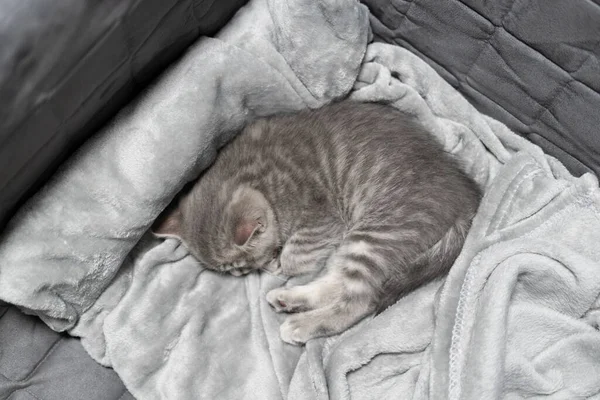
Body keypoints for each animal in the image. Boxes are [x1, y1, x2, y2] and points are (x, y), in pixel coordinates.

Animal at [152, 101, 480, 346]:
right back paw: (289, 299)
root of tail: (467, 199)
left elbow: (296, 255)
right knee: (339, 282)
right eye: (235, 272)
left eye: (243, 267)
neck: (248, 171)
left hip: (376, 233)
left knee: (360, 299)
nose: (250, 272)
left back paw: (300, 324)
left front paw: (280, 265)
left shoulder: (322, 219)